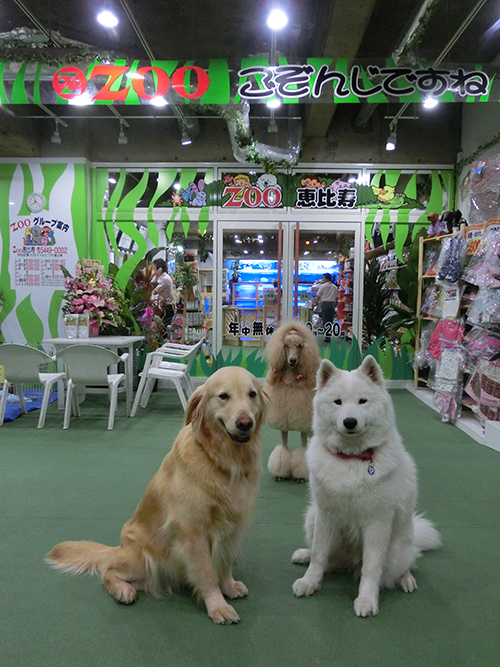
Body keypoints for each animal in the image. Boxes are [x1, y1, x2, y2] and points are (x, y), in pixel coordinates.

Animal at [292, 358, 442, 620]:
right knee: (328, 559)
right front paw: (309, 581)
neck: (351, 459)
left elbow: (372, 569)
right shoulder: (325, 515)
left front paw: (366, 600)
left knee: (403, 565)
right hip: (311, 518)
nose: (349, 421)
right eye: (338, 402)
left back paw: (407, 580)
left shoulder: (377, 523)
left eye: (362, 401)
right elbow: (319, 555)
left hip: (396, 551)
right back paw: (305, 555)